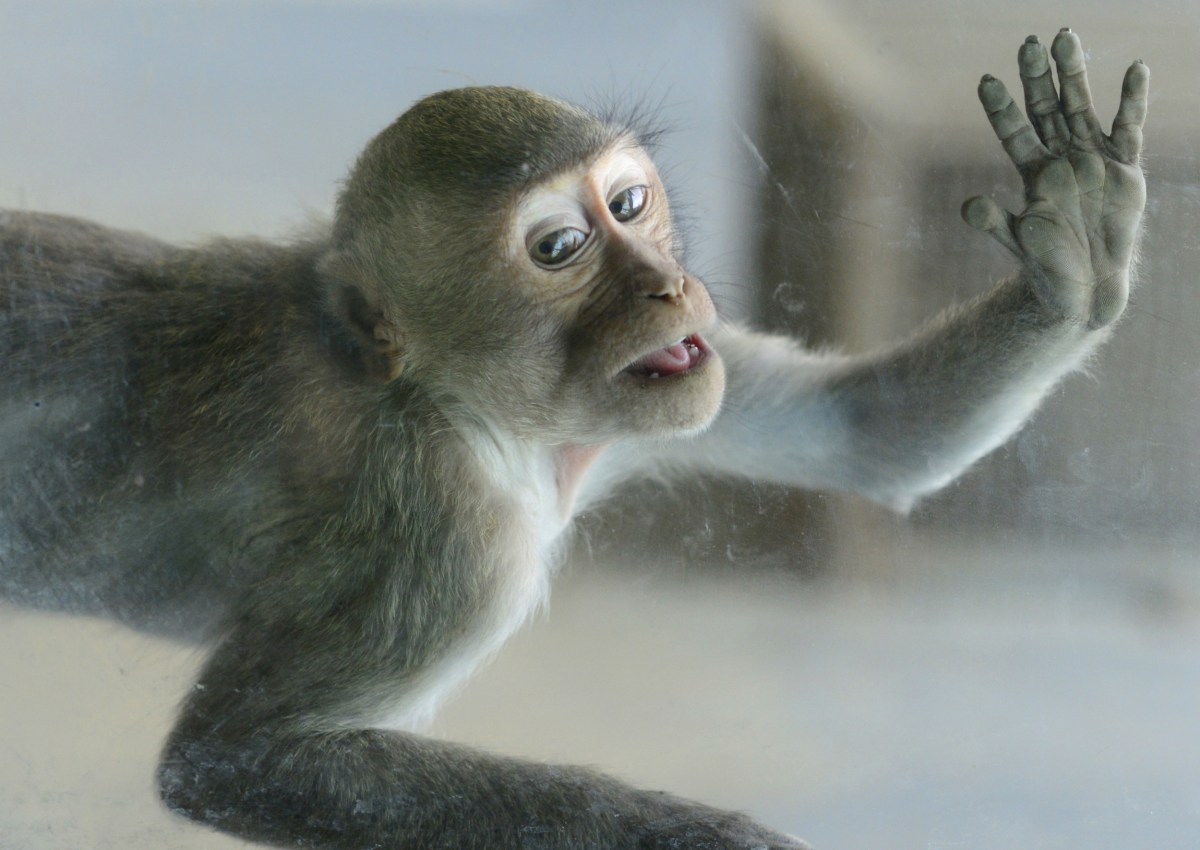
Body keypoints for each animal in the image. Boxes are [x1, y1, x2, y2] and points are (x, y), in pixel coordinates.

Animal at [0, 29, 1147, 850]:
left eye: (630, 204)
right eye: (559, 248)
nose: (668, 287)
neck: (450, 403)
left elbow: (867, 433)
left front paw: (1075, 251)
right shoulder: (443, 533)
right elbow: (234, 759)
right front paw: (717, 841)